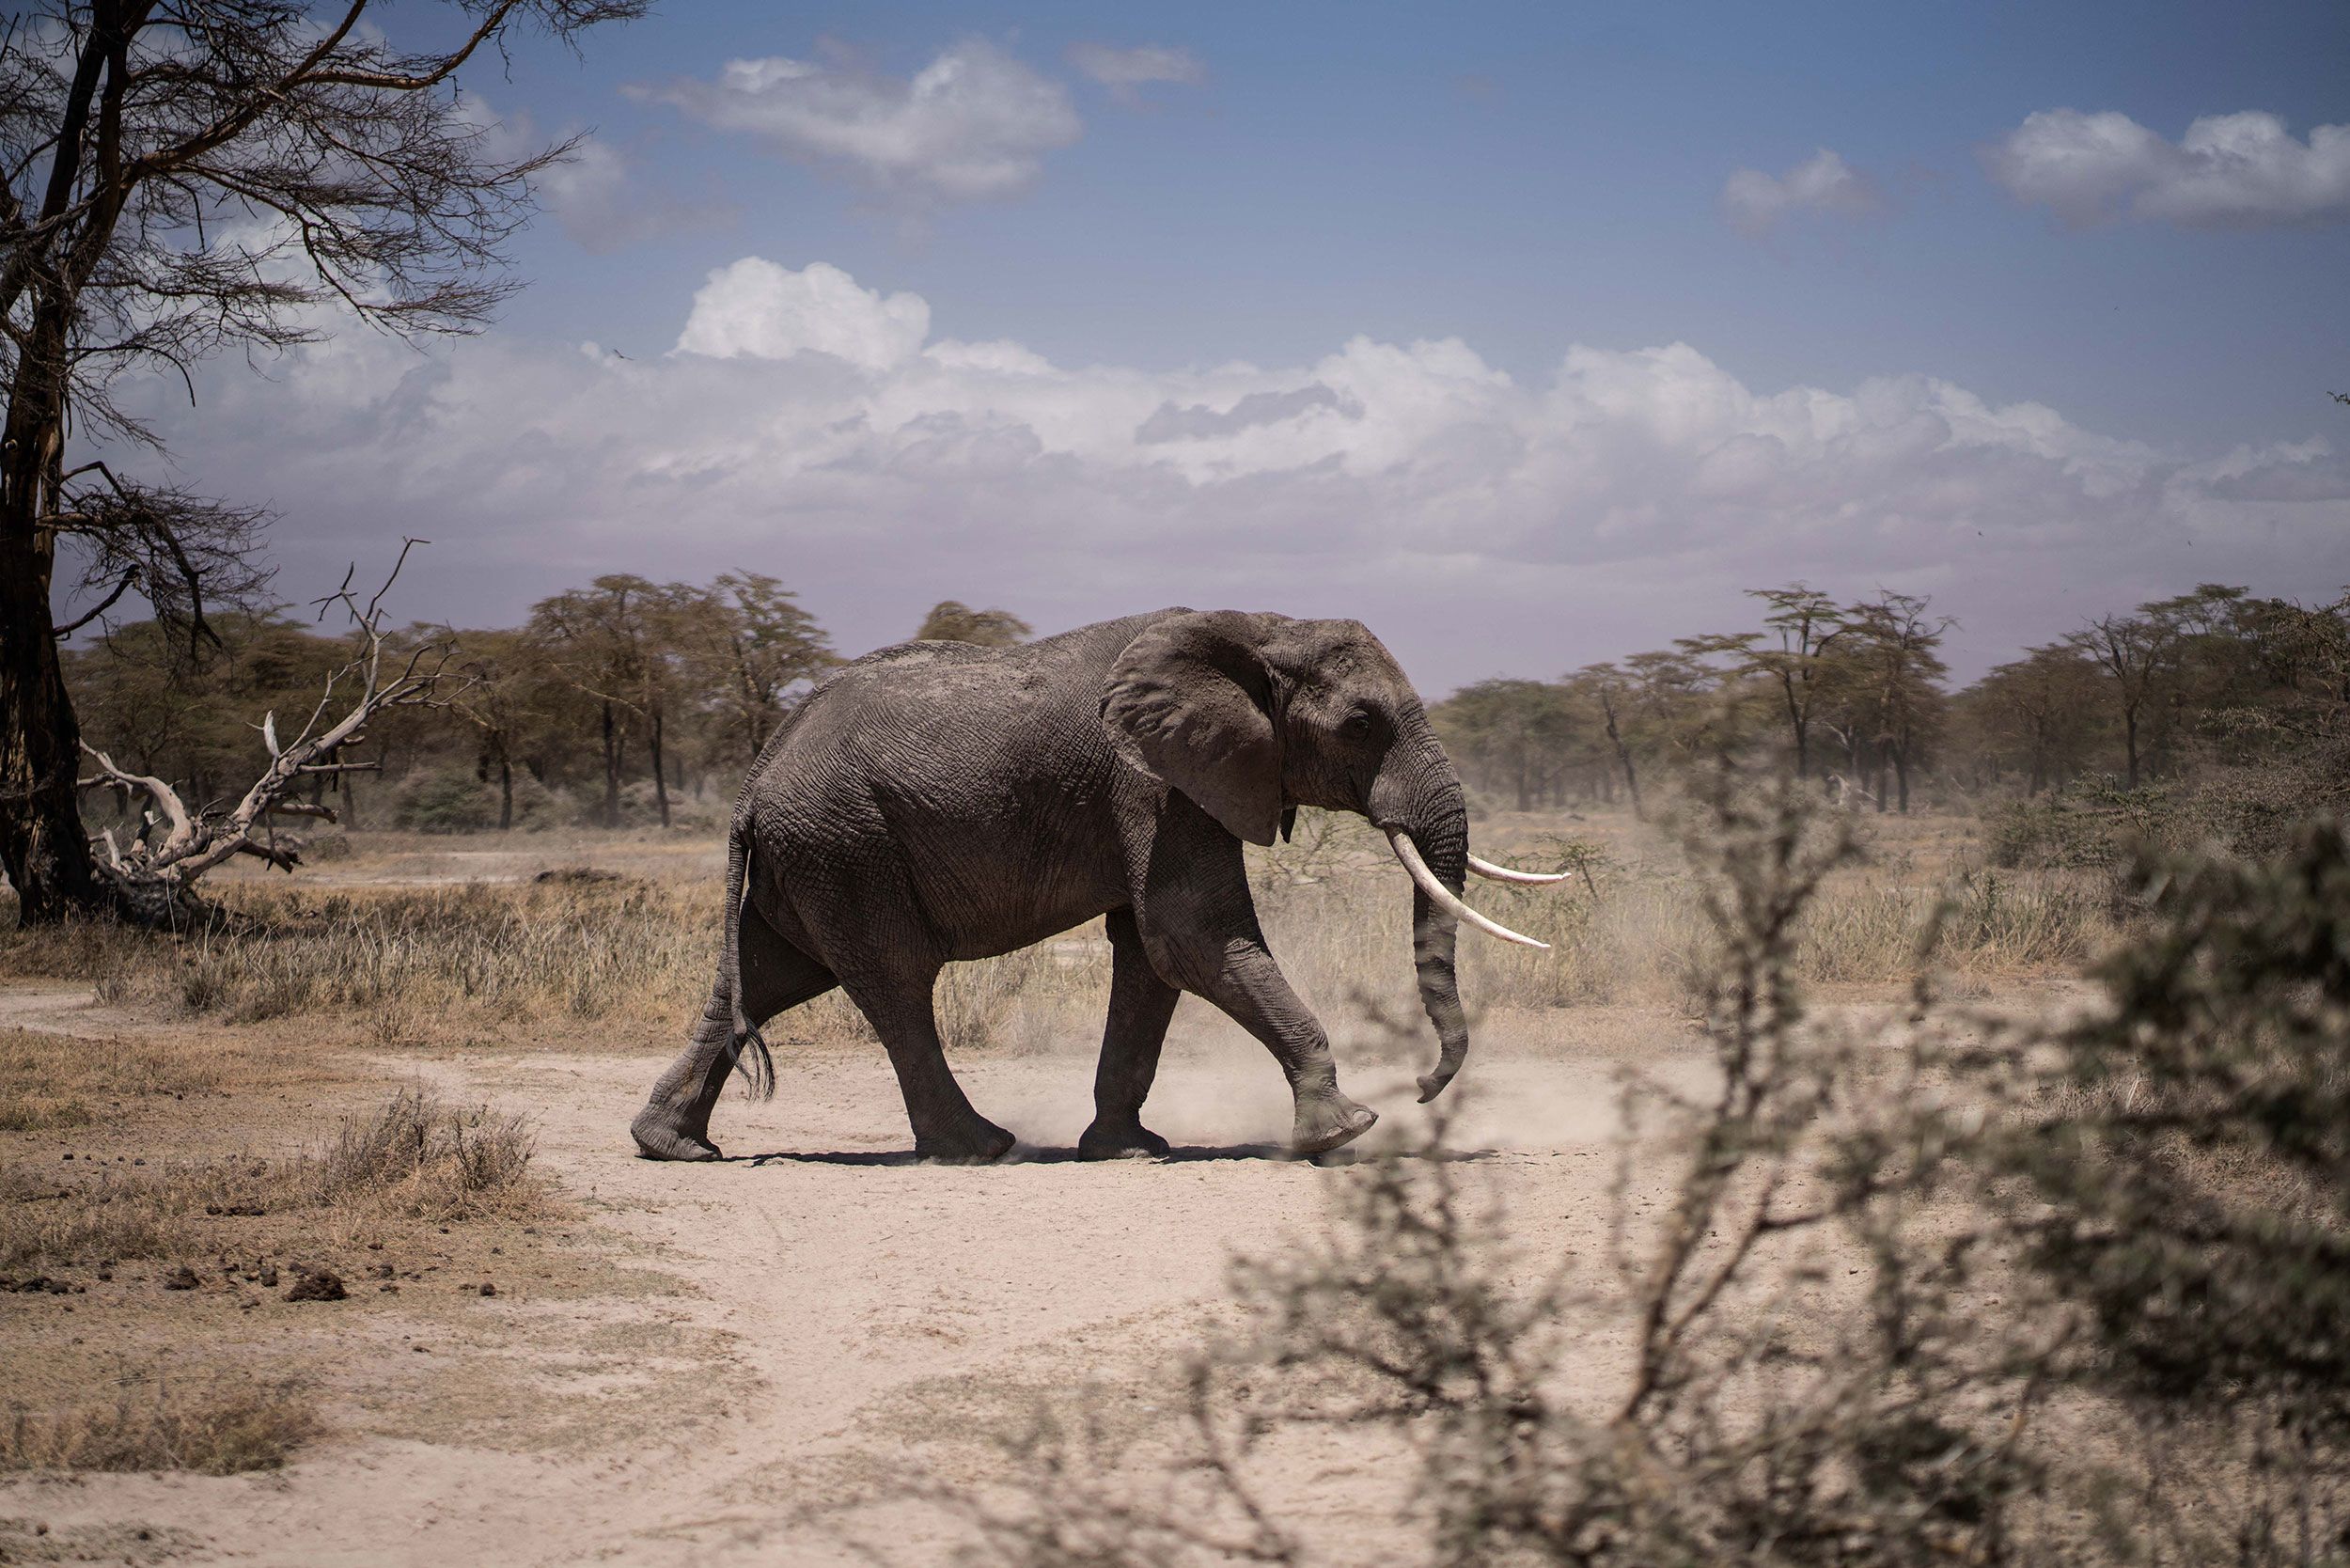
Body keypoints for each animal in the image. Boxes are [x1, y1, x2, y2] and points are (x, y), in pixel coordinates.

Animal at [634, 611, 1570, 1166]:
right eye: (1361, 725)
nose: (1422, 1088)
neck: (1254, 629)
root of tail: (755, 781)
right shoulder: (1155, 783)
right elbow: (1189, 935)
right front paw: (1346, 1134)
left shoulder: (1168, 785)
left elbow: (1152, 958)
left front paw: (1128, 1150)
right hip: (845, 843)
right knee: (893, 982)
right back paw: (982, 1147)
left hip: (812, 854)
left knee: (768, 978)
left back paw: (673, 1148)